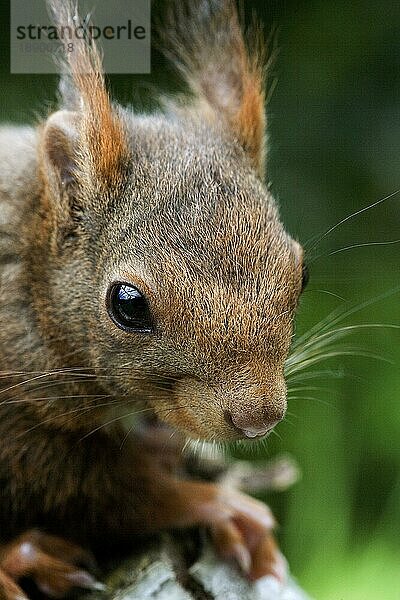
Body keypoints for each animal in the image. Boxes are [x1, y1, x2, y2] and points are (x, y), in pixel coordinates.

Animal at [0, 0, 308, 596]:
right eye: (128, 304)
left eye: (301, 273)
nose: (257, 418)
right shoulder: (18, 430)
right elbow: (103, 494)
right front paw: (220, 505)